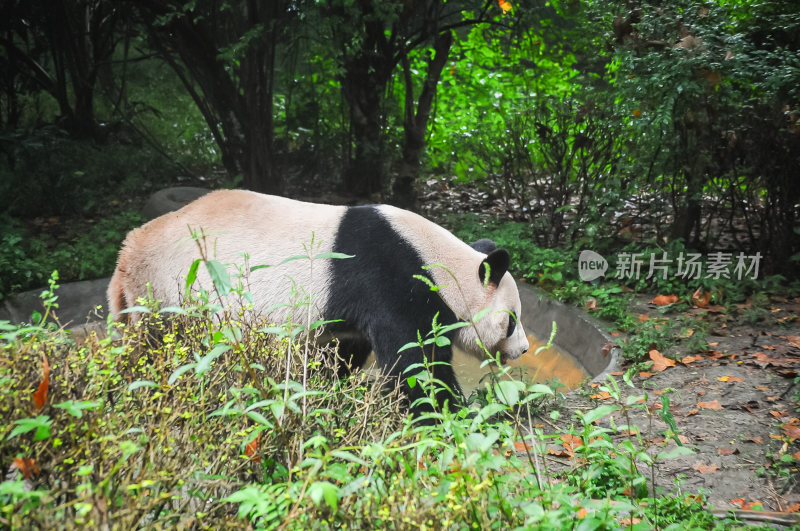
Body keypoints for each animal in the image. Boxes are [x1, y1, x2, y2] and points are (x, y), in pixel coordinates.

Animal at [108, 190, 532, 416]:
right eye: (512, 321)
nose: (524, 349)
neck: (441, 265)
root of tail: (125, 255)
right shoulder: (391, 280)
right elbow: (415, 363)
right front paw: (453, 412)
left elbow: (346, 351)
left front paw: (331, 389)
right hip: (170, 289)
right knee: (163, 352)